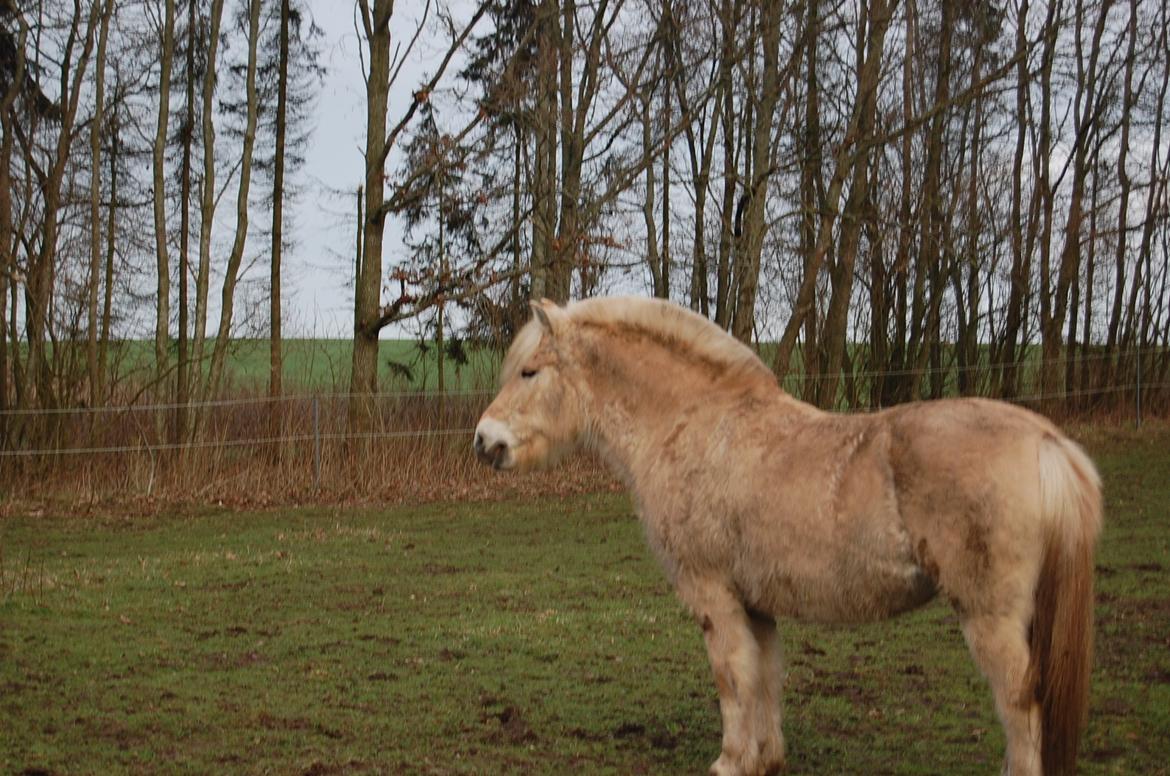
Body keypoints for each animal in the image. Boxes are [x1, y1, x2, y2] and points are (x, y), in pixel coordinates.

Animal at [470, 294, 1099, 772]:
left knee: (1020, 706)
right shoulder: (757, 602)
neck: (693, 425)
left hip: (991, 619)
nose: (484, 440)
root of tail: (1046, 441)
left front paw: (729, 760)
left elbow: (732, 676)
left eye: (530, 371)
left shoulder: (713, 595)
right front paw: (765, 759)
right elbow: (765, 677)